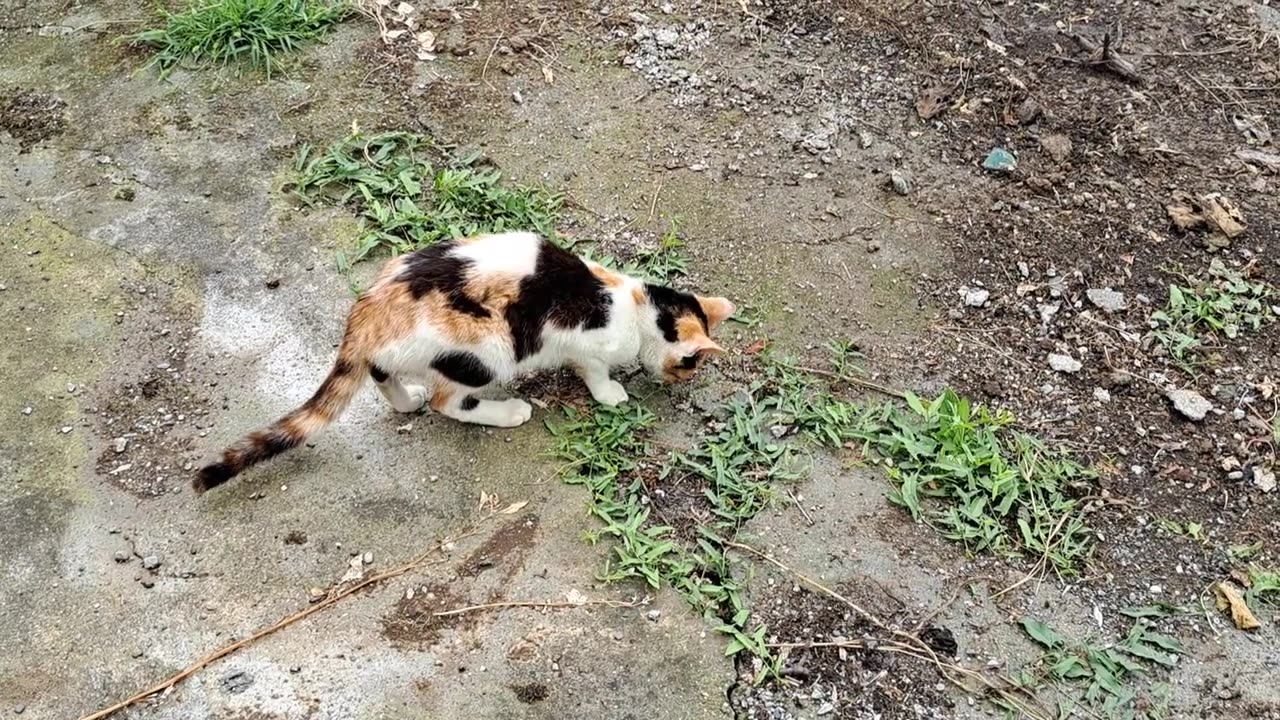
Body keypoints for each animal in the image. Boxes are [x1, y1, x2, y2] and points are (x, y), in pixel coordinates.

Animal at [189, 229, 732, 491]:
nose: (680, 384)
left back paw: (405, 399)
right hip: (487, 350)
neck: (634, 305)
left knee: (383, 372)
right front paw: (611, 393)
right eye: (690, 365)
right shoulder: (584, 343)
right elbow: (593, 371)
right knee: (447, 401)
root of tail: (369, 309)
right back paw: (507, 411)